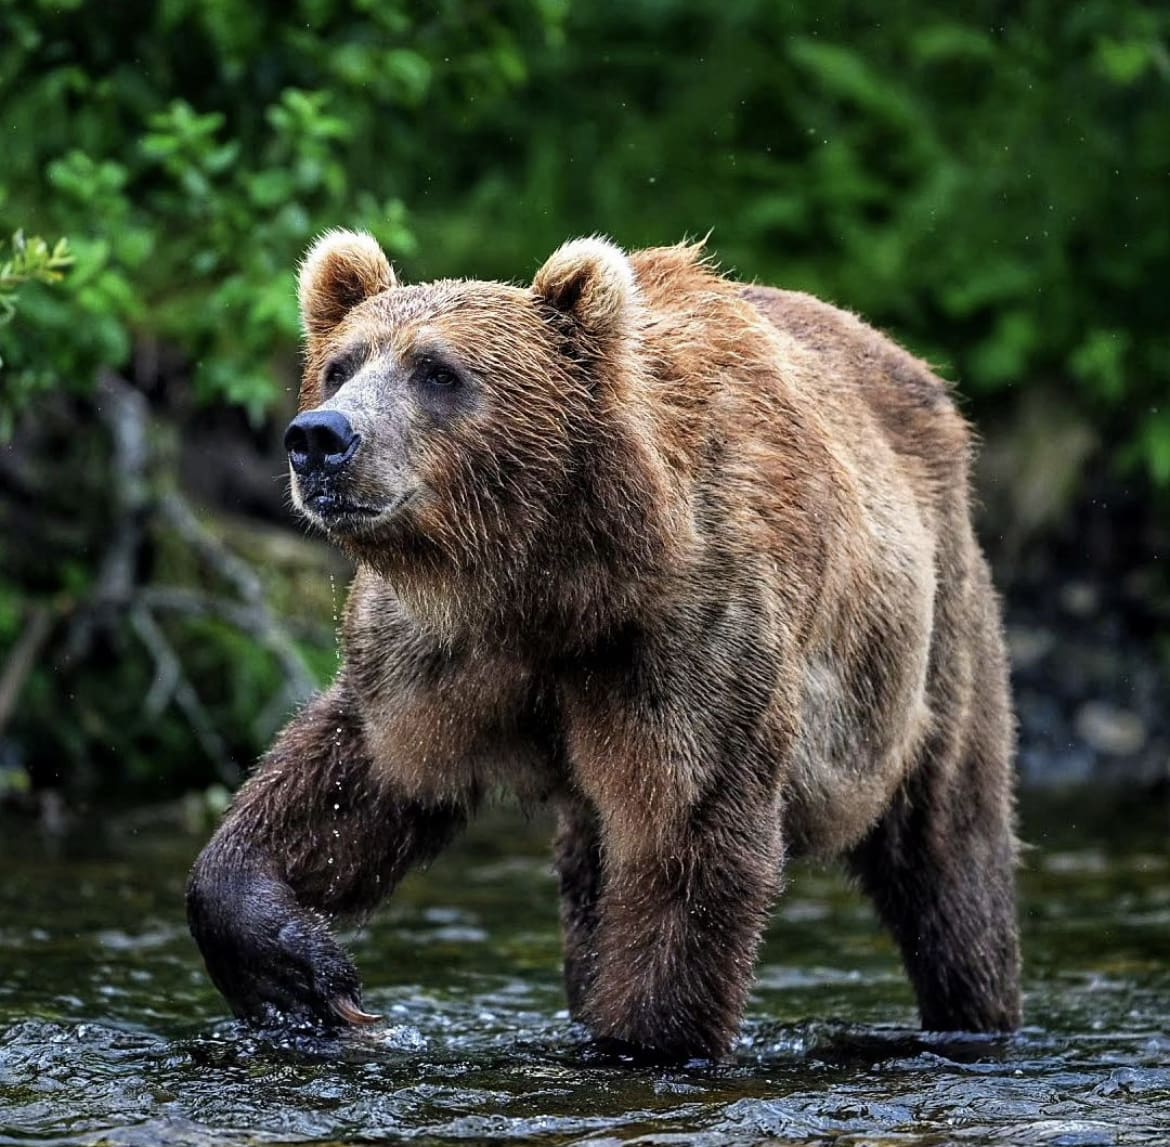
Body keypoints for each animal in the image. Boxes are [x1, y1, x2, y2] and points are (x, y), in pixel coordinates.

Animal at [187, 228, 1020, 1062]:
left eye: (439, 371)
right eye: (341, 364)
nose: (320, 436)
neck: (556, 582)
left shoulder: (694, 636)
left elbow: (688, 843)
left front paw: (643, 1040)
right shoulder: (438, 651)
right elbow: (354, 782)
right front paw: (301, 974)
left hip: (932, 644)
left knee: (953, 853)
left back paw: (973, 1007)